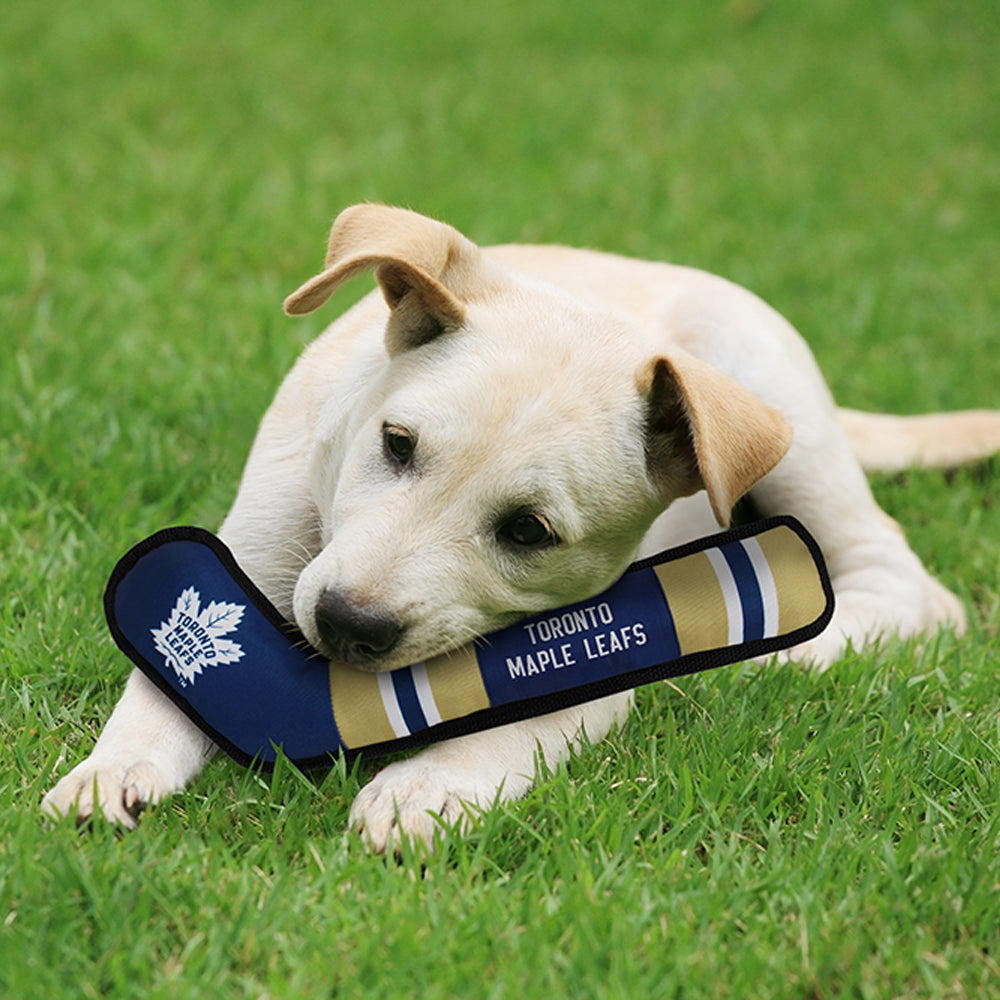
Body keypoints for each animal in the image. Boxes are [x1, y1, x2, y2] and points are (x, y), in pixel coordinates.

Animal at [43, 203, 1000, 852]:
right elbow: (167, 676)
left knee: (913, 590)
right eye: (395, 444)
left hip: (781, 406)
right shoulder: (252, 555)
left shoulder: (606, 638)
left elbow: (521, 721)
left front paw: (428, 786)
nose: (346, 626)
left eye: (530, 532)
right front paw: (111, 770)